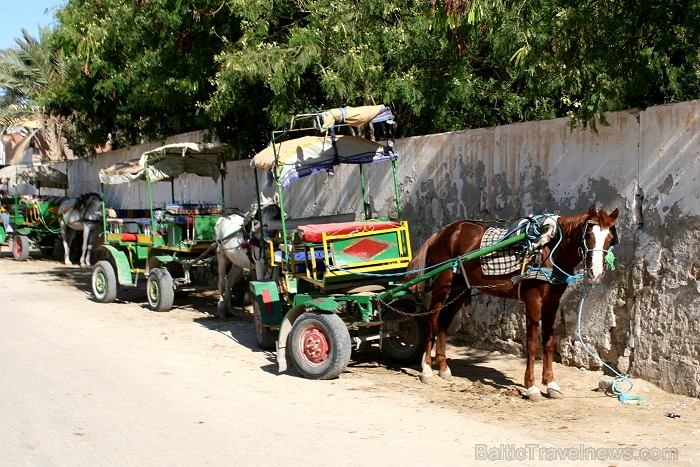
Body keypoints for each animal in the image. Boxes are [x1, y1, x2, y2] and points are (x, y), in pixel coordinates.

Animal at [408, 207, 620, 400]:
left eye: (610, 238)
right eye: (589, 236)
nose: (595, 273)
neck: (549, 250)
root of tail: (443, 232)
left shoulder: (552, 302)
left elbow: (549, 342)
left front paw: (551, 384)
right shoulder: (533, 300)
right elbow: (532, 344)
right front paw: (532, 387)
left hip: (459, 289)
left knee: (444, 323)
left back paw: (443, 367)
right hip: (441, 286)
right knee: (432, 321)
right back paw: (427, 369)